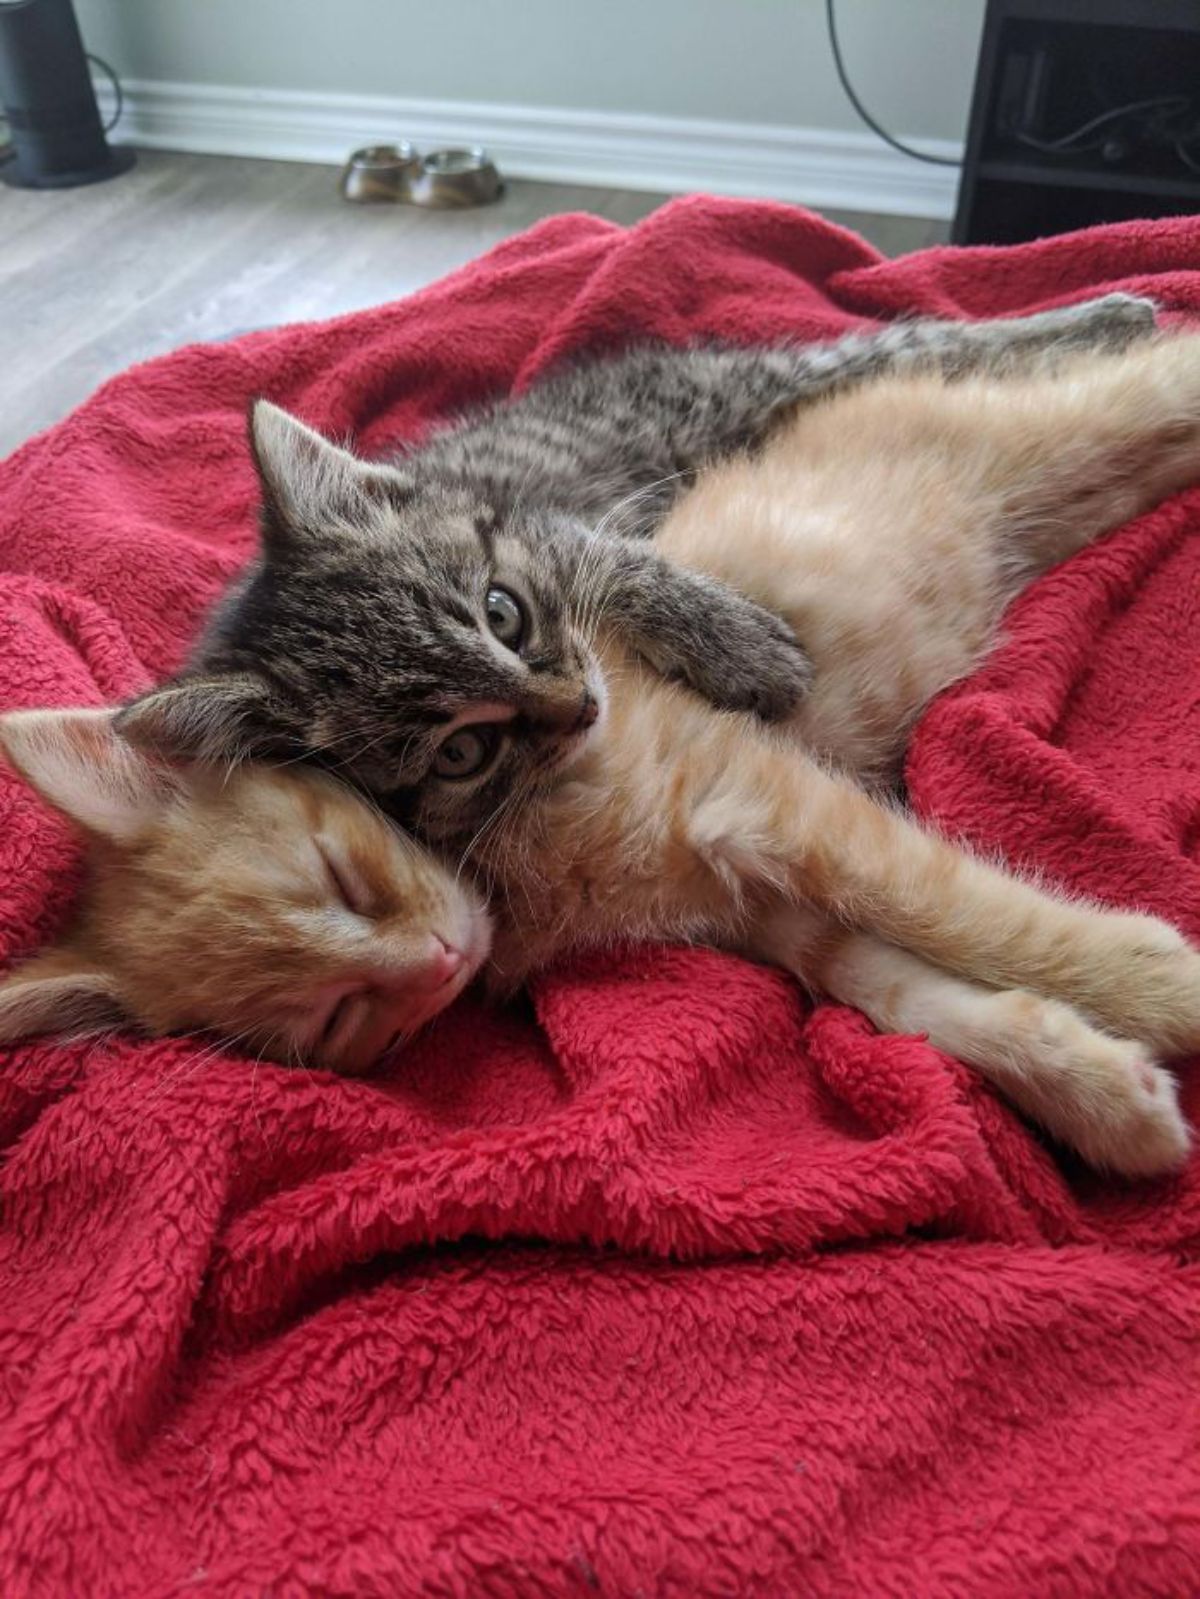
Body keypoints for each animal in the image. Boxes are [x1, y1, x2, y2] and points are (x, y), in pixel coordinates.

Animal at [120, 300, 1158, 850]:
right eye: (459, 752)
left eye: (502, 612)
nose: (579, 705)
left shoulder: (551, 524)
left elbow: (615, 563)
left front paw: (736, 643)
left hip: (739, 392)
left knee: (924, 342)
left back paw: (1112, 316)